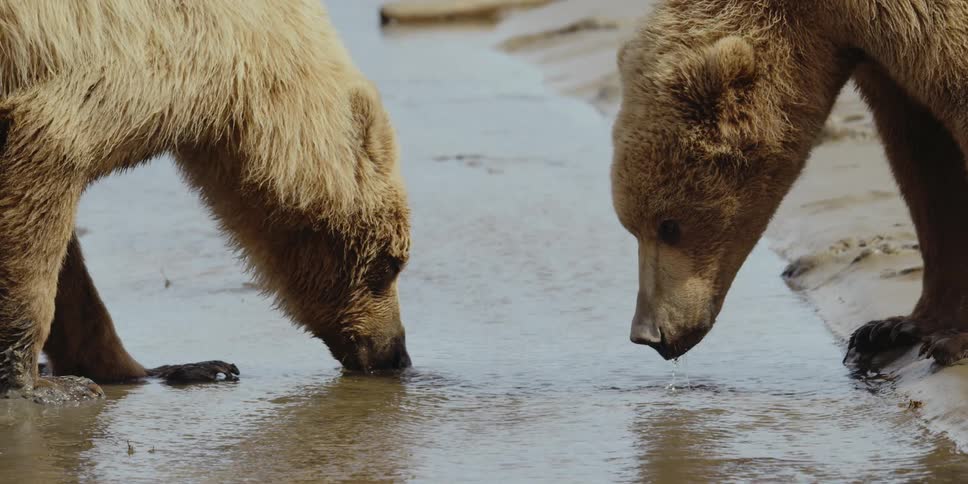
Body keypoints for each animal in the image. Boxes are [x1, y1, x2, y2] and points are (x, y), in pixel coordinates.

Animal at [611, 0, 968, 367]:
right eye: (632, 228)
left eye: (669, 226)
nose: (647, 334)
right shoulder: (882, 59)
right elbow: (925, 162)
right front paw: (894, 328)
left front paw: (953, 340)